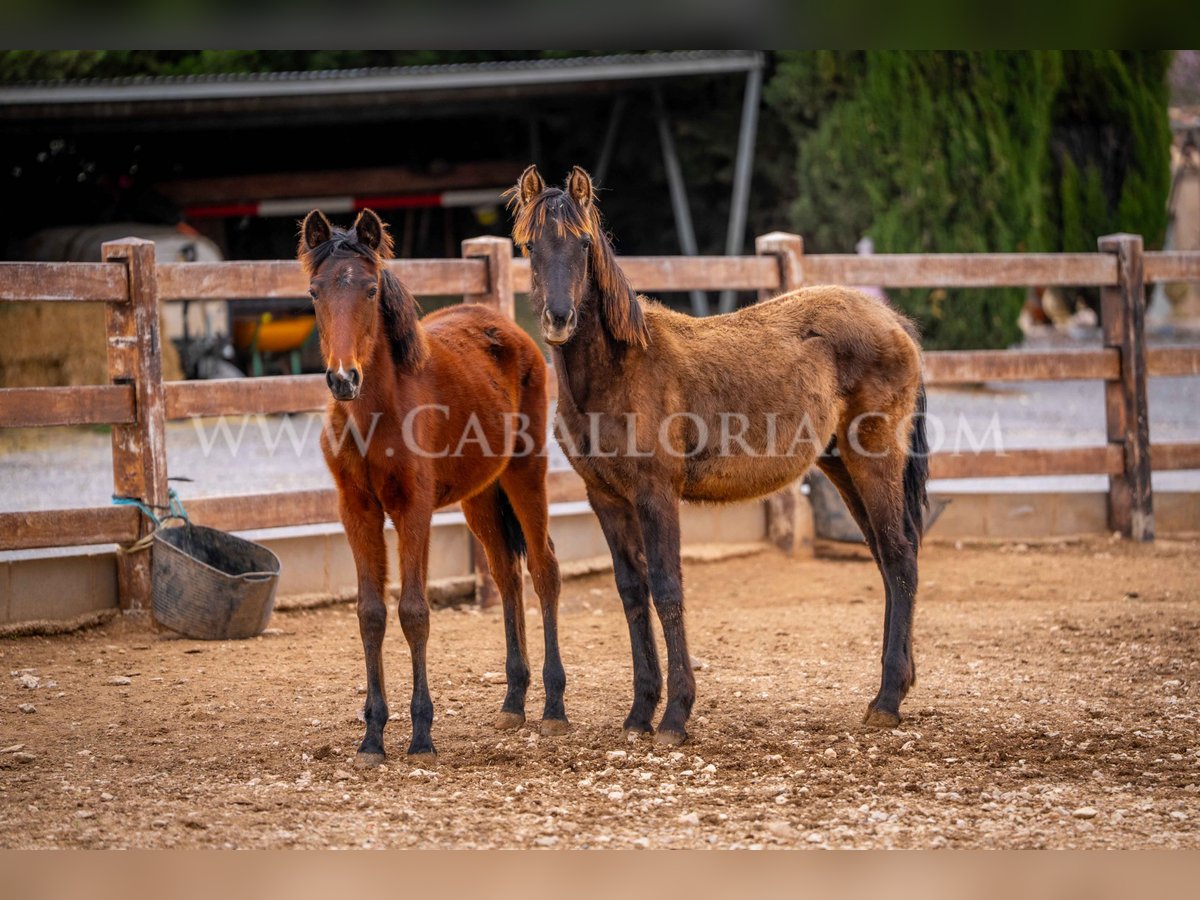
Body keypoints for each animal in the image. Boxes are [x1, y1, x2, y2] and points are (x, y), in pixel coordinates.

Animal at [297, 211, 564, 768]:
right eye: (314, 292)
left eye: (370, 289)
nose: (342, 379)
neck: (375, 414)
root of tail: (512, 329)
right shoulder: (357, 510)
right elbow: (370, 614)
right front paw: (372, 738)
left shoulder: (412, 509)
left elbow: (414, 612)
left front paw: (421, 736)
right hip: (480, 494)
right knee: (506, 574)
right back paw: (513, 702)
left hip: (525, 472)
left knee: (543, 568)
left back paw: (553, 708)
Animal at [506, 168, 926, 748]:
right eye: (529, 247)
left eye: (584, 242)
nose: (559, 319)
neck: (619, 370)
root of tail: (893, 322)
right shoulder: (606, 498)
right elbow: (632, 593)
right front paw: (639, 713)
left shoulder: (656, 494)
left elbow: (667, 588)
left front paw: (675, 717)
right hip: (841, 465)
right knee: (887, 560)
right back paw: (894, 689)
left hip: (874, 461)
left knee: (901, 556)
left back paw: (886, 700)